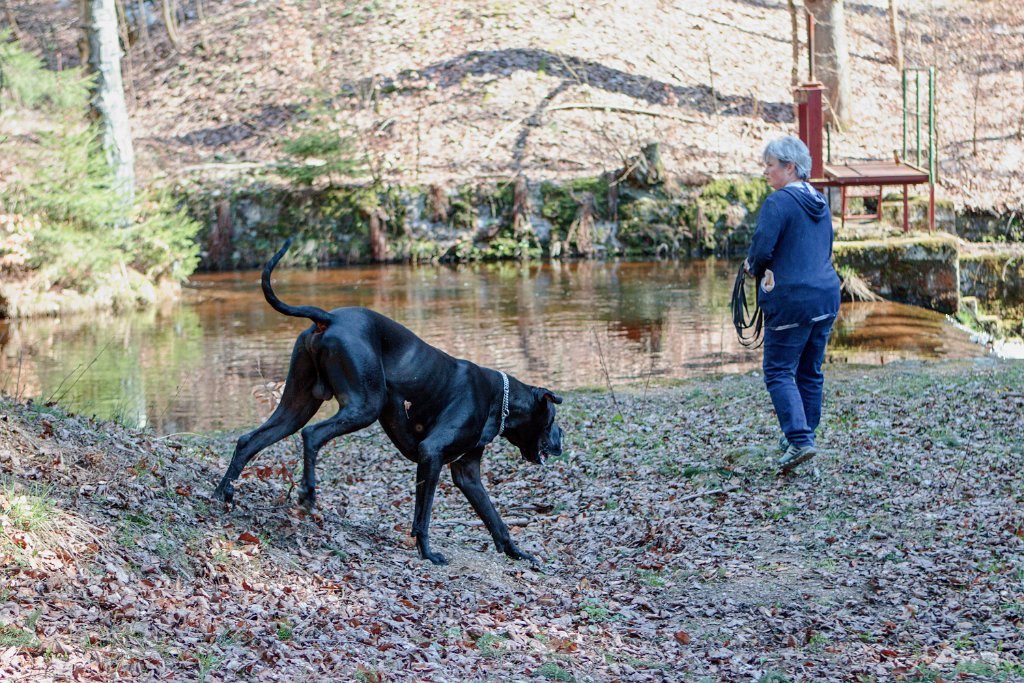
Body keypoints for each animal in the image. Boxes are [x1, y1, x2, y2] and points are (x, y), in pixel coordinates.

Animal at [215, 240, 565, 565]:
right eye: (552, 420)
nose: (562, 441)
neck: (498, 399)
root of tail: (328, 317)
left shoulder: (467, 474)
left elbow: (495, 520)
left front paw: (516, 552)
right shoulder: (431, 454)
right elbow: (423, 514)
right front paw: (427, 552)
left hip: (296, 407)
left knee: (249, 439)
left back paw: (223, 493)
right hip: (364, 406)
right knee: (312, 434)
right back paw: (308, 492)